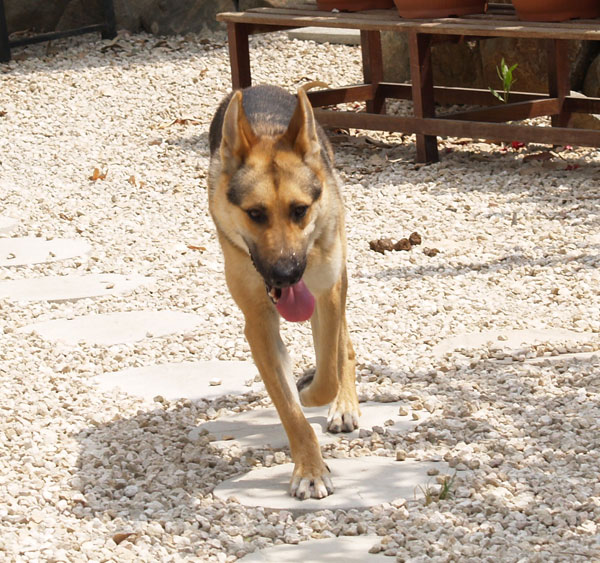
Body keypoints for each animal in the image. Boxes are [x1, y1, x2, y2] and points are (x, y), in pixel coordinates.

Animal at [206, 86, 358, 500]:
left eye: (300, 210)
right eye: (255, 214)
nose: (287, 275)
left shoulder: (327, 295)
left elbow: (328, 374)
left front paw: (317, 394)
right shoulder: (258, 325)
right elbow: (289, 410)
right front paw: (310, 469)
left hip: (339, 273)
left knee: (344, 347)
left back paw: (345, 403)